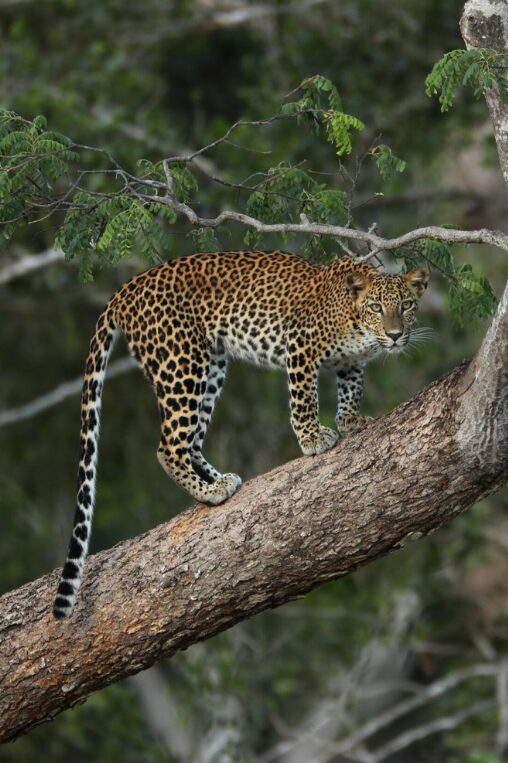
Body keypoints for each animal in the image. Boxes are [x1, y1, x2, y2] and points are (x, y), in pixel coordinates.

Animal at [53, 250, 428, 618]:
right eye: (376, 307)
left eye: (407, 305)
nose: (395, 335)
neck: (355, 320)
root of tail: (126, 288)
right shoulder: (300, 344)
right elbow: (304, 397)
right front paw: (311, 438)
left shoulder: (350, 363)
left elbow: (352, 388)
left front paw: (351, 420)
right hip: (181, 364)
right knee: (169, 446)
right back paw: (210, 491)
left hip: (212, 365)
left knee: (192, 441)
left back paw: (220, 479)